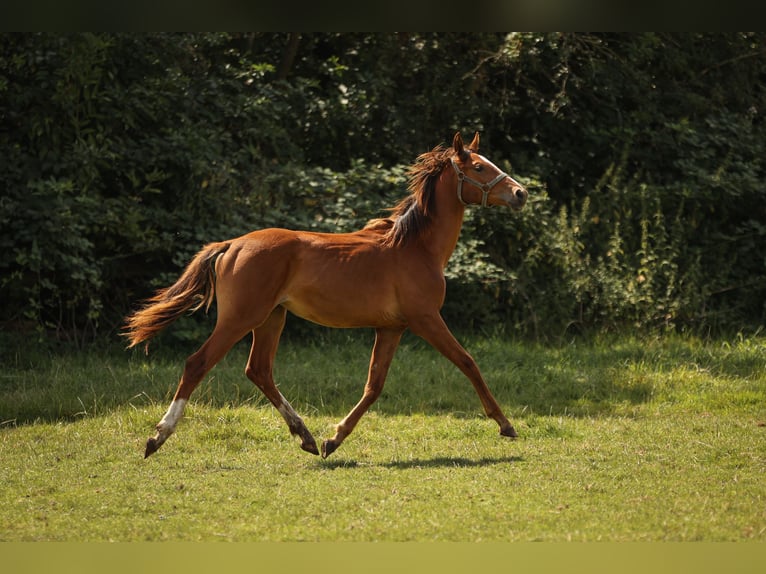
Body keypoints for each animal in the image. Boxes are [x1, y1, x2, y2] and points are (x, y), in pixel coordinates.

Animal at [124, 133, 528, 462]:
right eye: (479, 167)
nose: (520, 193)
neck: (416, 248)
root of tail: (231, 245)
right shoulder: (425, 319)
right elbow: (468, 362)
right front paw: (505, 424)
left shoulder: (391, 328)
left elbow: (374, 386)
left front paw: (333, 440)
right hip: (241, 318)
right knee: (198, 363)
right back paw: (157, 438)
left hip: (272, 318)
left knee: (259, 370)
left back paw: (305, 437)